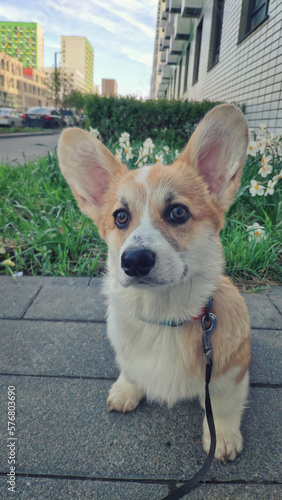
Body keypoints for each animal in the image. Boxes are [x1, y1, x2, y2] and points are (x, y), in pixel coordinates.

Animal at [57, 104, 251, 460]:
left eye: (178, 212)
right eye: (120, 217)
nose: (134, 260)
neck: (163, 318)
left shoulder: (231, 372)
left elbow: (223, 405)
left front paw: (224, 438)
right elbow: (131, 368)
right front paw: (126, 389)